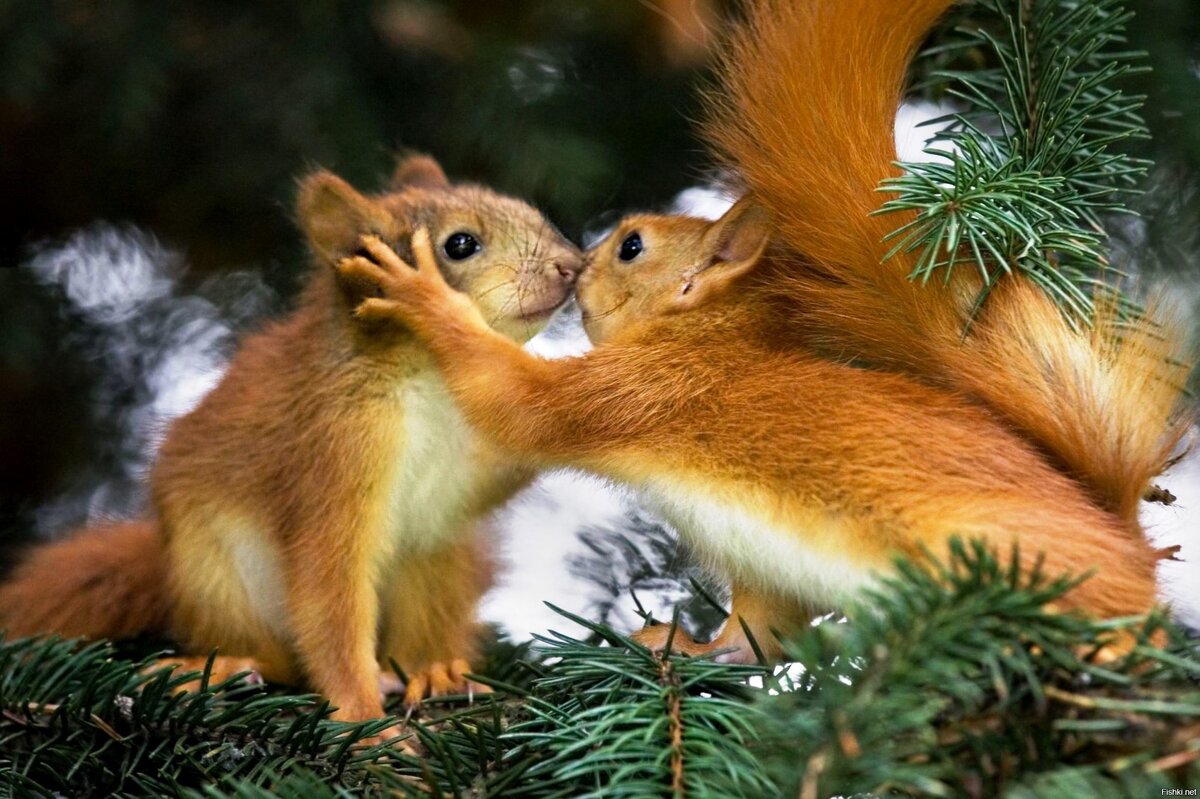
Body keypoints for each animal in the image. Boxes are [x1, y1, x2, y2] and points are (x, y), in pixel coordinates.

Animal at [0, 153, 580, 729]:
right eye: (460, 244)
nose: (572, 266)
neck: (433, 379)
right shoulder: (333, 450)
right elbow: (330, 594)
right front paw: (365, 725)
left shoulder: (469, 464)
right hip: (216, 575)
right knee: (278, 656)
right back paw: (227, 667)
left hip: (440, 556)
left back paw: (433, 670)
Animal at [333, 0, 1195, 657]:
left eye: (632, 245)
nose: (575, 265)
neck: (707, 340)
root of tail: (1123, 539)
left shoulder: (638, 389)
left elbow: (516, 400)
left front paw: (422, 295)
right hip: (771, 569)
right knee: (755, 639)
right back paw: (685, 647)